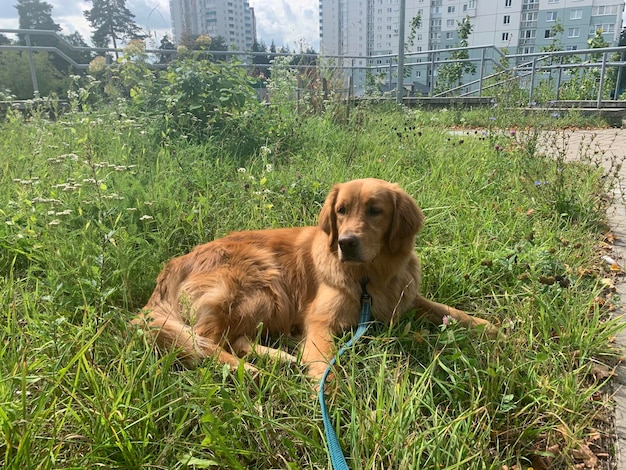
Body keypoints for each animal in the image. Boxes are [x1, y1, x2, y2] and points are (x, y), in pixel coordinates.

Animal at [134, 178, 494, 380]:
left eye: (375, 210)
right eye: (341, 210)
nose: (345, 242)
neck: (368, 278)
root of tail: (172, 266)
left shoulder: (404, 297)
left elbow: (445, 309)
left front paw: (488, 327)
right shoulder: (321, 321)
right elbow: (326, 364)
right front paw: (332, 402)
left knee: (233, 339)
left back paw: (279, 358)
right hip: (260, 285)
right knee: (206, 341)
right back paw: (248, 371)